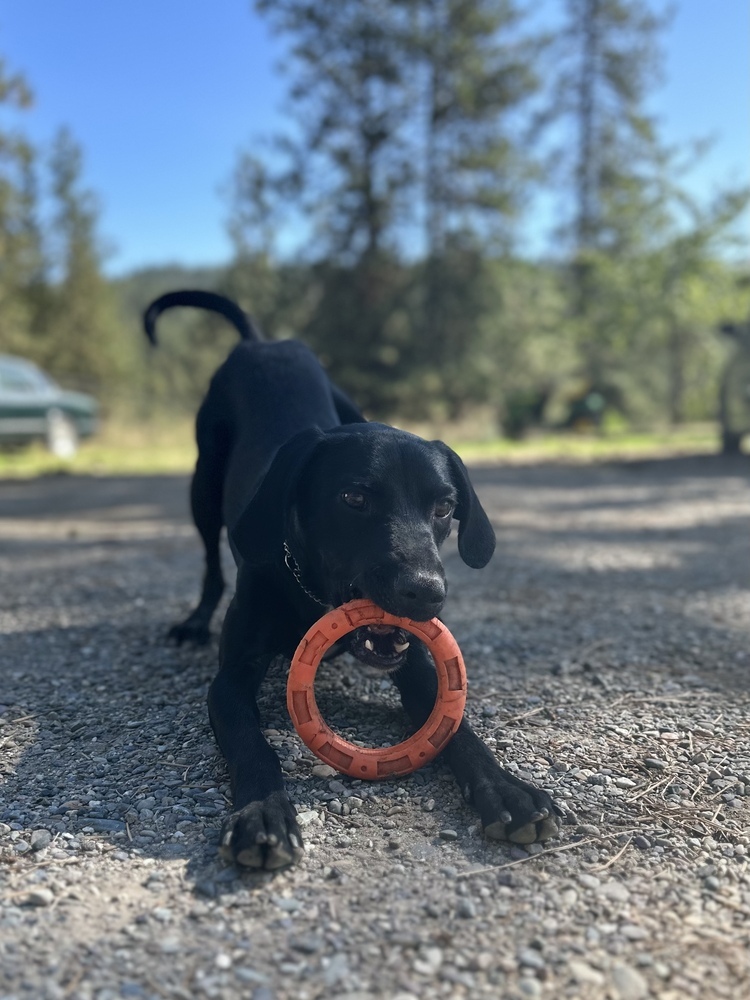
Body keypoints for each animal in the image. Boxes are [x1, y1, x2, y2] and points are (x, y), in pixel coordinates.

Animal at [145, 290, 560, 868]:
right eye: (354, 498)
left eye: (445, 507)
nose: (427, 593)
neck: (311, 591)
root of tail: (262, 342)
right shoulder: (229, 682)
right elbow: (254, 745)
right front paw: (263, 812)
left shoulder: (418, 664)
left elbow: (459, 728)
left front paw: (506, 788)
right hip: (202, 484)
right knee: (208, 559)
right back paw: (193, 621)